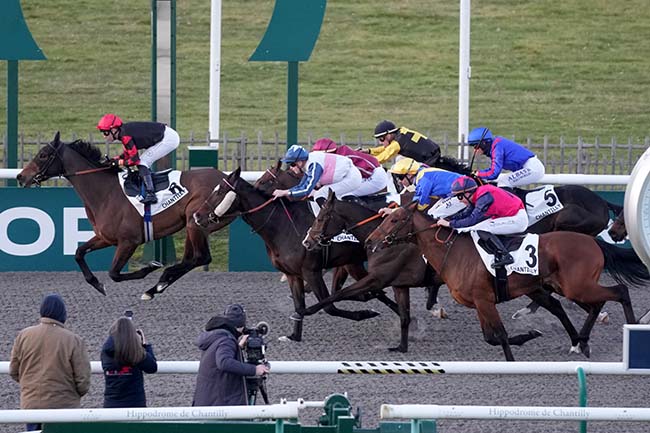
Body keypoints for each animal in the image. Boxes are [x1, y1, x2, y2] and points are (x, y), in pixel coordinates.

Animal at [15, 133, 233, 298]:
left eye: (43, 155)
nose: (20, 176)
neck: (106, 192)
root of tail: (228, 177)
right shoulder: (106, 238)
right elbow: (79, 253)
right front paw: (97, 283)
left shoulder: (129, 241)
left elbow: (114, 273)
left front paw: (150, 267)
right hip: (192, 225)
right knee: (191, 259)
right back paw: (158, 286)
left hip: (196, 221)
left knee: (201, 257)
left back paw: (158, 282)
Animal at [364, 204, 648, 360]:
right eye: (385, 217)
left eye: (395, 219)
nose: (369, 240)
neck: (453, 252)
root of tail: (594, 242)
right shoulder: (479, 303)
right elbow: (490, 337)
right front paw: (527, 336)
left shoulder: (484, 300)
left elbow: (498, 335)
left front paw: (517, 351)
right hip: (560, 287)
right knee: (591, 304)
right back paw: (581, 342)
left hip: (577, 286)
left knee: (619, 291)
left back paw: (628, 328)